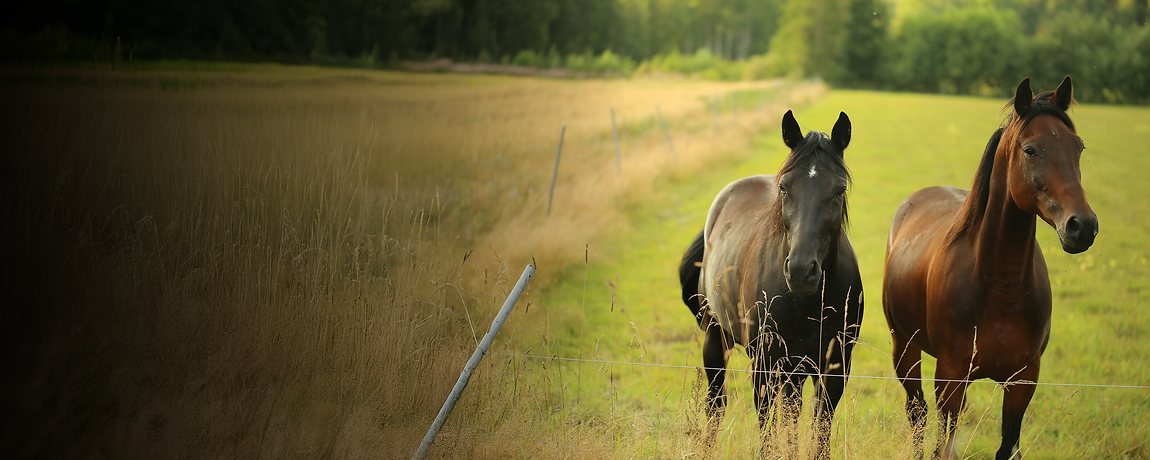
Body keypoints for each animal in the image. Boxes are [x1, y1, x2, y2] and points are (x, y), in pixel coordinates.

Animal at [680, 110, 864, 458]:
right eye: (784, 188)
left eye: (839, 190)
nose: (801, 270)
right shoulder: (764, 365)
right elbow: (768, 429)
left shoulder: (834, 368)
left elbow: (818, 430)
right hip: (716, 336)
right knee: (716, 403)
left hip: (793, 371)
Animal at [882, 76, 1097, 460]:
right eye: (1031, 150)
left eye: (1079, 148)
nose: (1082, 226)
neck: (1001, 285)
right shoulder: (950, 377)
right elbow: (943, 445)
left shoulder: (1023, 380)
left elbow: (1007, 447)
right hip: (904, 348)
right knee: (917, 413)